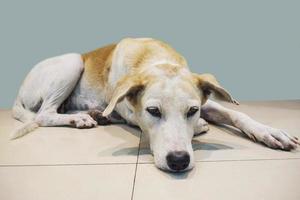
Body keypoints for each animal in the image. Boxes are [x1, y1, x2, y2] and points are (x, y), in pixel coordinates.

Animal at [10, 37, 298, 172]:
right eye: (153, 111)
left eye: (191, 110)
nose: (179, 161)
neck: (154, 58)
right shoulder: (126, 107)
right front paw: (202, 126)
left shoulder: (203, 100)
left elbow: (237, 114)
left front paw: (270, 132)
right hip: (72, 61)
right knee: (45, 114)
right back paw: (82, 117)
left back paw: (90, 114)